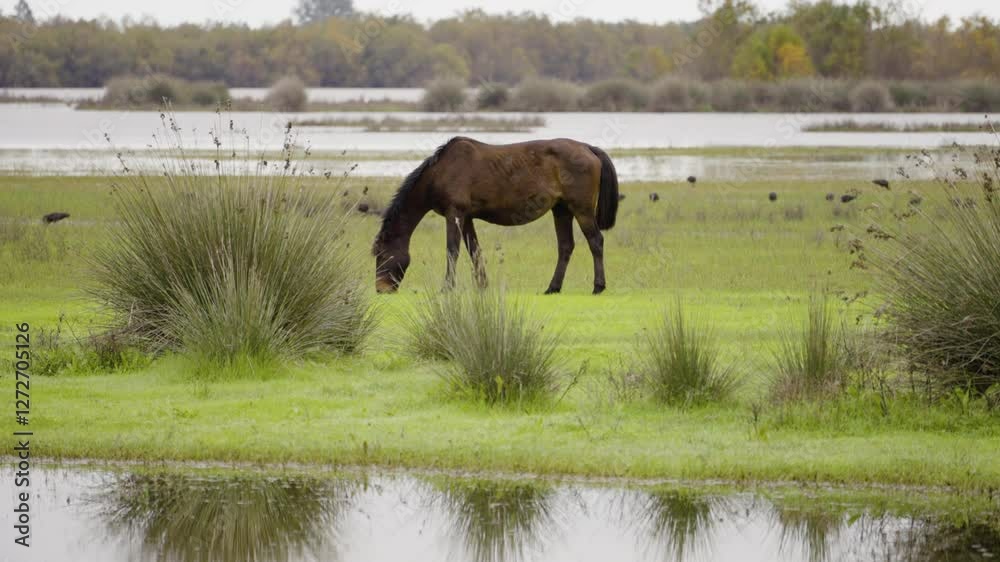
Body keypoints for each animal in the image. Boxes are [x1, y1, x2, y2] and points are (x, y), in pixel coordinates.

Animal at [372, 136, 619, 294]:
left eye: (381, 255)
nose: (381, 289)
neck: (440, 172)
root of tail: (588, 148)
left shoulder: (455, 214)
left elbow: (452, 250)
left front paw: (447, 288)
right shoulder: (467, 217)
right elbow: (474, 250)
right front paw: (482, 285)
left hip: (581, 209)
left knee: (596, 241)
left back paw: (598, 286)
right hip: (561, 210)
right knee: (566, 246)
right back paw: (553, 287)